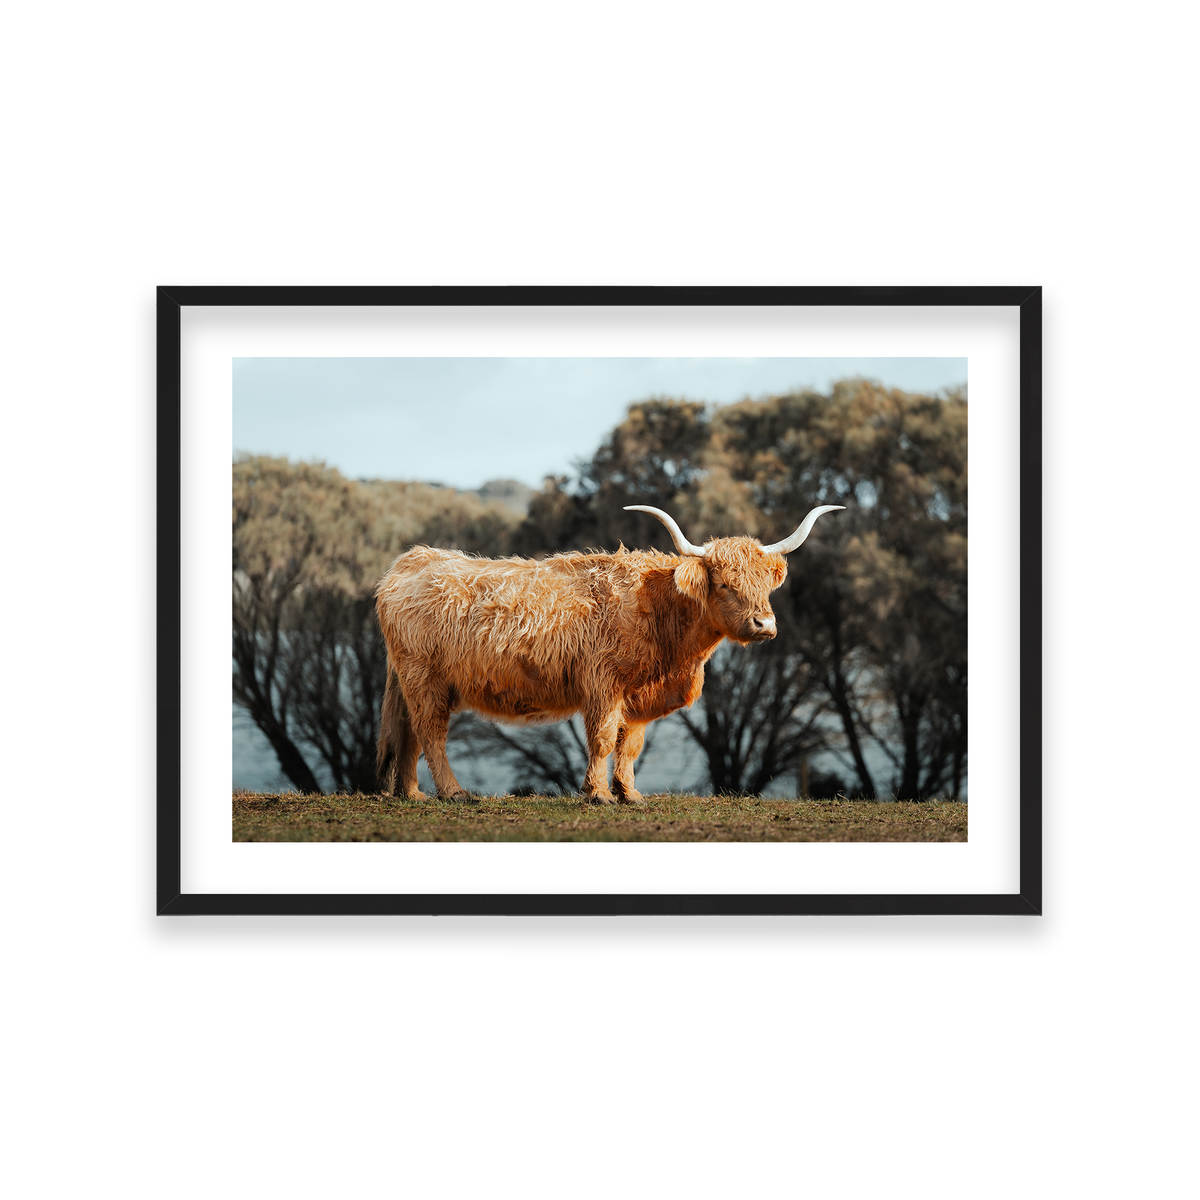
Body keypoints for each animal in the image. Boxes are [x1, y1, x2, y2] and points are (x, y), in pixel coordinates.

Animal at [375, 503, 844, 804]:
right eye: (726, 584)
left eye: (765, 584)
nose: (764, 625)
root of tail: (412, 559)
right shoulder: (603, 684)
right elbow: (601, 739)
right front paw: (598, 794)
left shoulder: (637, 695)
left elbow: (630, 744)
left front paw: (630, 794)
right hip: (425, 678)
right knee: (431, 733)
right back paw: (453, 793)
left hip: (414, 681)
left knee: (409, 734)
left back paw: (412, 794)